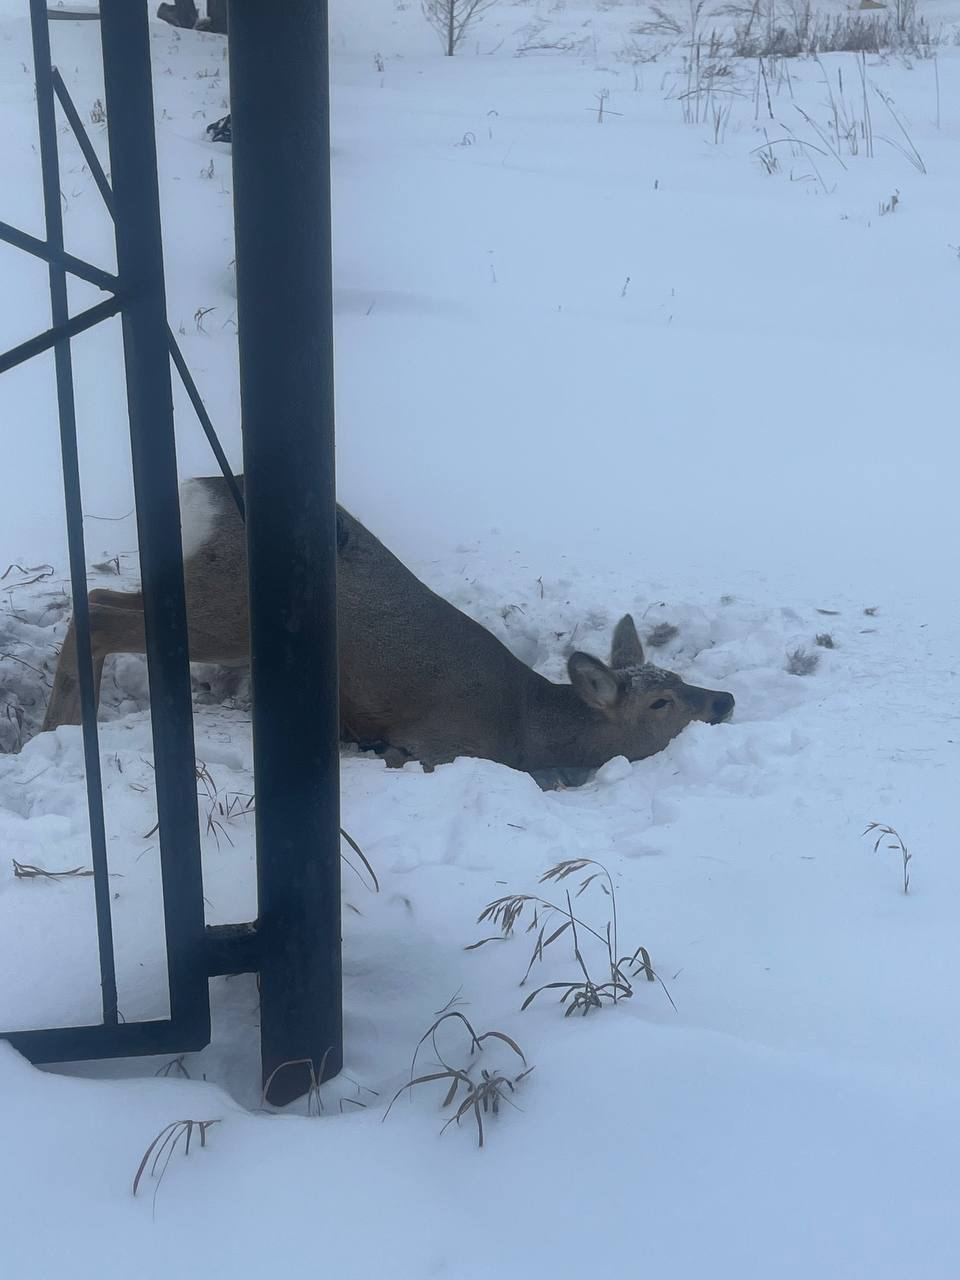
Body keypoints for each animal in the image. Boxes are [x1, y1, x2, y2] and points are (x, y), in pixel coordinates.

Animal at [41, 478, 737, 778]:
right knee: (99, 614)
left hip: (200, 588)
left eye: (678, 675)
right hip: (232, 613)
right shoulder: (437, 743)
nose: (725, 700)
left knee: (97, 595)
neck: (528, 727)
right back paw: (59, 733)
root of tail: (202, 489)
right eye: (661, 701)